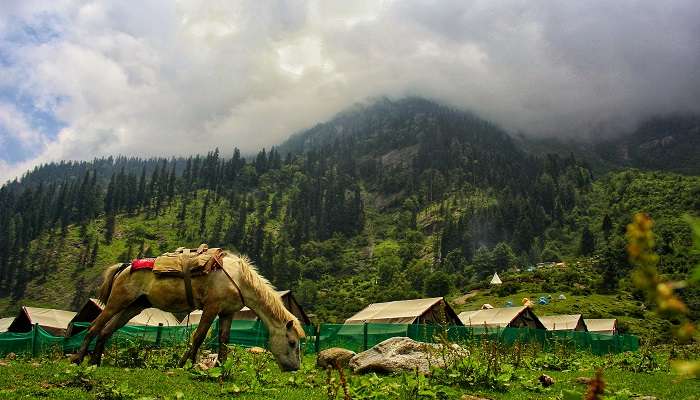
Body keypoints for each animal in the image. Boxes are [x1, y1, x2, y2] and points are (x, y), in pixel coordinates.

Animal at [70, 253, 306, 372]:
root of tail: (126, 266)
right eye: (292, 342)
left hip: (133, 307)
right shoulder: (211, 308)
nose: (294, 368)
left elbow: (224, 339)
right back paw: (78, 358)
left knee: (106, 331)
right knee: (94, 327)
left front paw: (220, 366)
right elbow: (198, 336)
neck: (239, 279)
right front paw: (186, 364)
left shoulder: (227, 313)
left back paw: (95, 361)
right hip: (116, 302)